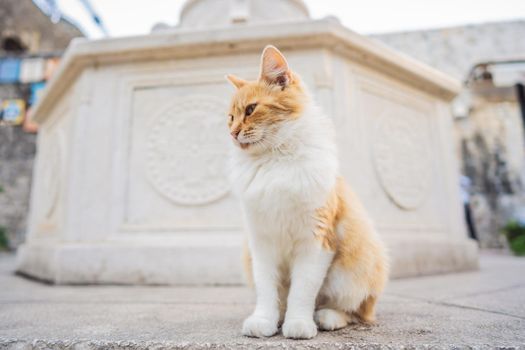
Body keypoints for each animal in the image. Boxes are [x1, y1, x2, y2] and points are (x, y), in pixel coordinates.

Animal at [223, 45, 386, 340]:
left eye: (251, 109)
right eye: (230, 118)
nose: (233, 132)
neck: (274, 160)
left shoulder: (316, 241)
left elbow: (303, 291)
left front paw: (298, 324)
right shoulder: (261, 242)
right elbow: (267, 290)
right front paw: (264, 321)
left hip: (354, 268)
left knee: (356, 311)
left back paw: (327, 317)